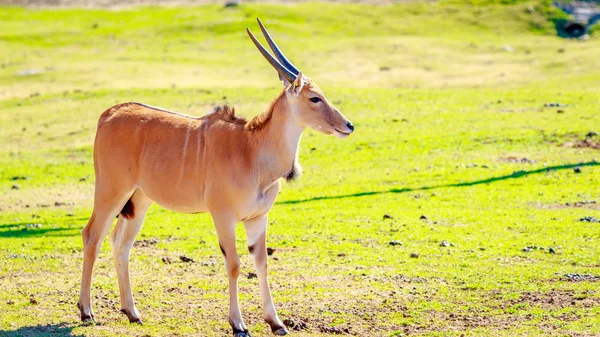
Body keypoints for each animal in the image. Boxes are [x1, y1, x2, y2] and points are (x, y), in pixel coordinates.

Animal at [77, 19, 354, 336]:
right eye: (314, 98)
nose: (348, 125)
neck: (251, 150)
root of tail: (108, 114)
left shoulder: (258, 218)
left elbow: (262, 263)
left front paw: (276, 322)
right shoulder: (223, 215)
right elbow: (234, 264)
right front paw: (238, 324)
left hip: (139, 201)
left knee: (120, 243)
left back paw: (132, 312)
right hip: (111, 191)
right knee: (92, 235)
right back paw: (87, 311)